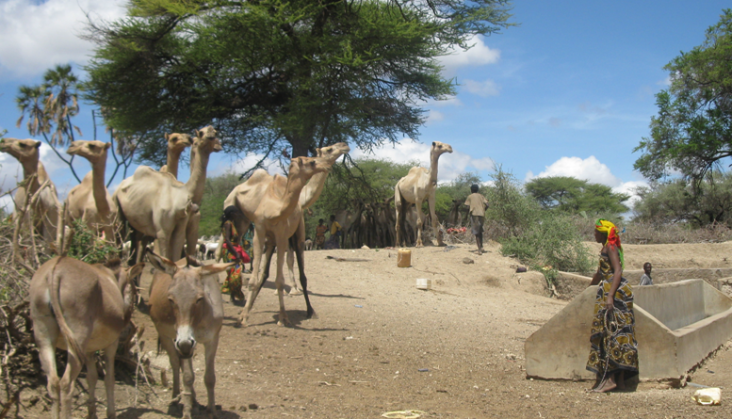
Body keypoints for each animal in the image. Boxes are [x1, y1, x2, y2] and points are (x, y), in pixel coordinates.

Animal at [30, 256, 144, 419]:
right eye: (134, 292)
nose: (128, 327)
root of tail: (56, 269)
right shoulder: (112, 344)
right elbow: (109, 378)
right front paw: (111, 413)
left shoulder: (89, 349)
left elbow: (92, 377)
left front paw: (92, 413)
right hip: (76, 338)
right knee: (66, 384)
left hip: (44, 337)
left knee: (53, 382)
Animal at [147, 253, 232, 419]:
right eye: (170, 299)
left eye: (199, 298)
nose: (185, 344)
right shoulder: (182, 342)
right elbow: (187, 377)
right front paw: (187, 412)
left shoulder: (212, 339)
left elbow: (209, 378)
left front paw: (211, 411)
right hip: (166, 335)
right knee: (175, 363)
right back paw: (177, 400)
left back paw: (194, 402)